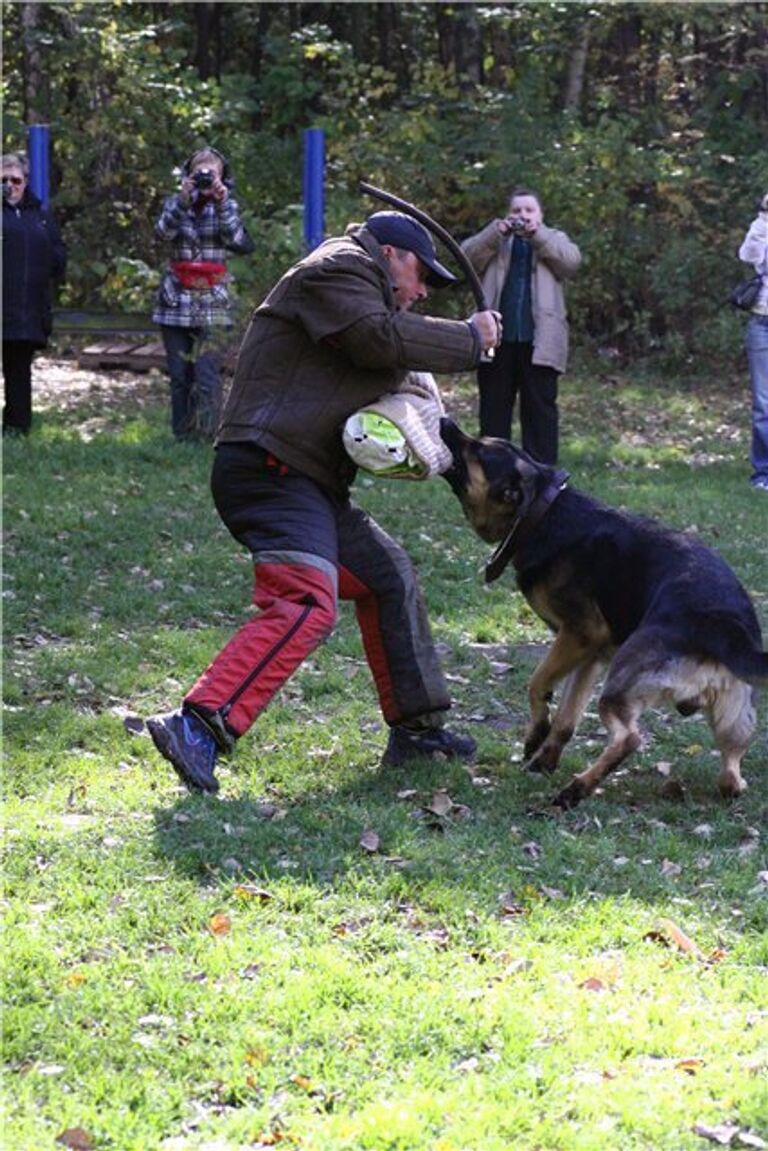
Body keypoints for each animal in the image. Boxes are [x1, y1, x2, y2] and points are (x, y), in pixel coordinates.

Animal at [442, 418, 764, 805]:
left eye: (478, 448)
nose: (444, 421)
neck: (543, 513)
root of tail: (724, 628)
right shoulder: (590, 655)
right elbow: (566, 719)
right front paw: (545, 758)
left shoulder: (578, 635)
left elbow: (537, 685)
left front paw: (535, 736)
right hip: (735, 721)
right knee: (730, 774)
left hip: (620, 686)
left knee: (630, 738)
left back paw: (577, 788)